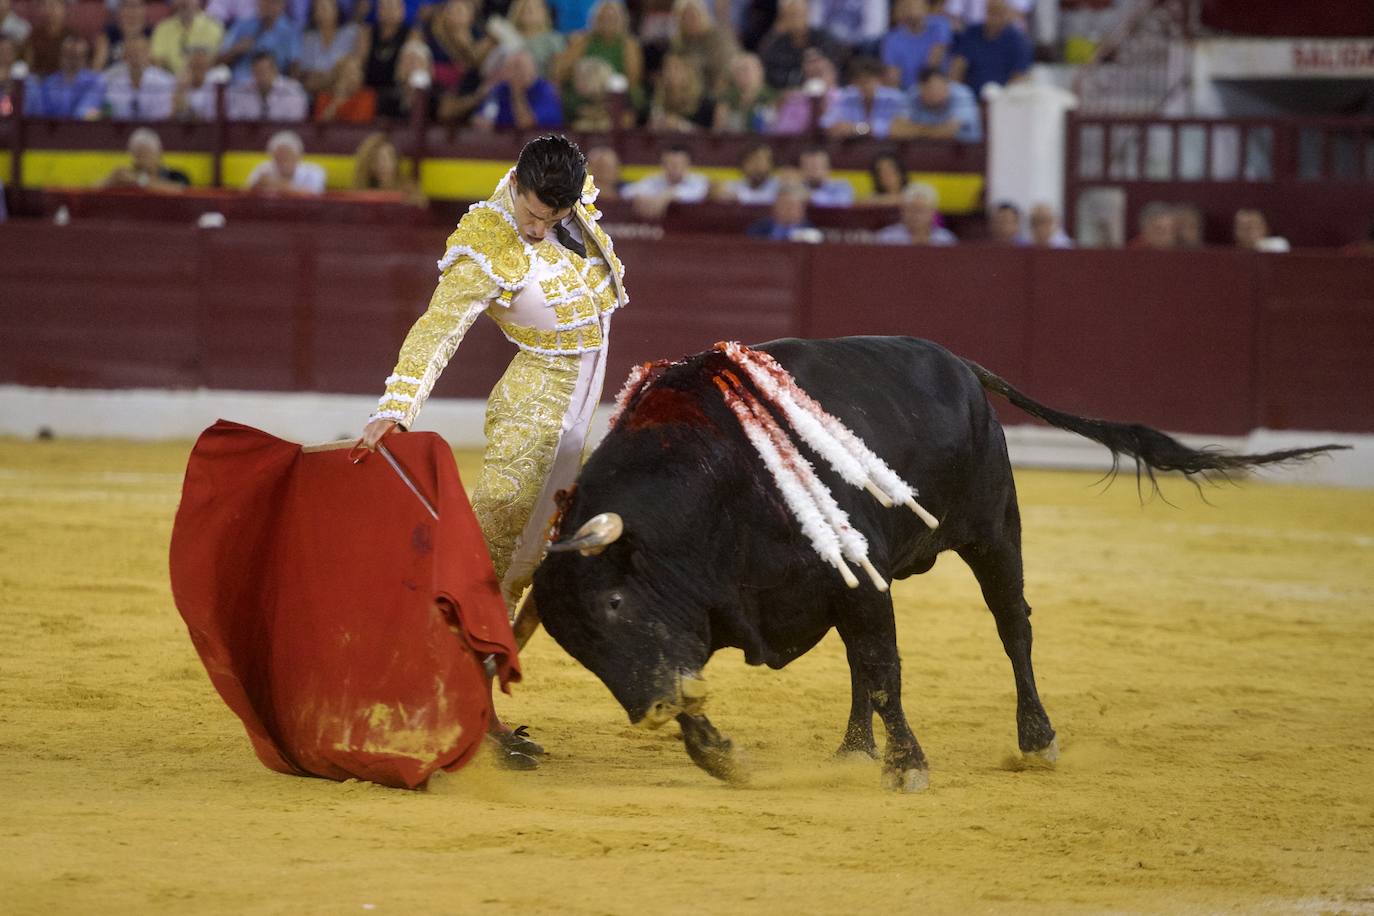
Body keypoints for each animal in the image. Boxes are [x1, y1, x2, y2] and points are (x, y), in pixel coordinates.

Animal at [530, 333, 1335, 791]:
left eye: (613, 604)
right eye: (579, 649)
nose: (648, 712)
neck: (712, 481)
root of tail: (959, 364)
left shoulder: (857, 584)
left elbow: (887, 673)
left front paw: (909, 767)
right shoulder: (757, 607)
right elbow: (722, 691)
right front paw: (727, 758)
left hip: (994, 532)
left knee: (1014, 629)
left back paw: (1036, 741)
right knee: (862, 663)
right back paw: (853, 752)